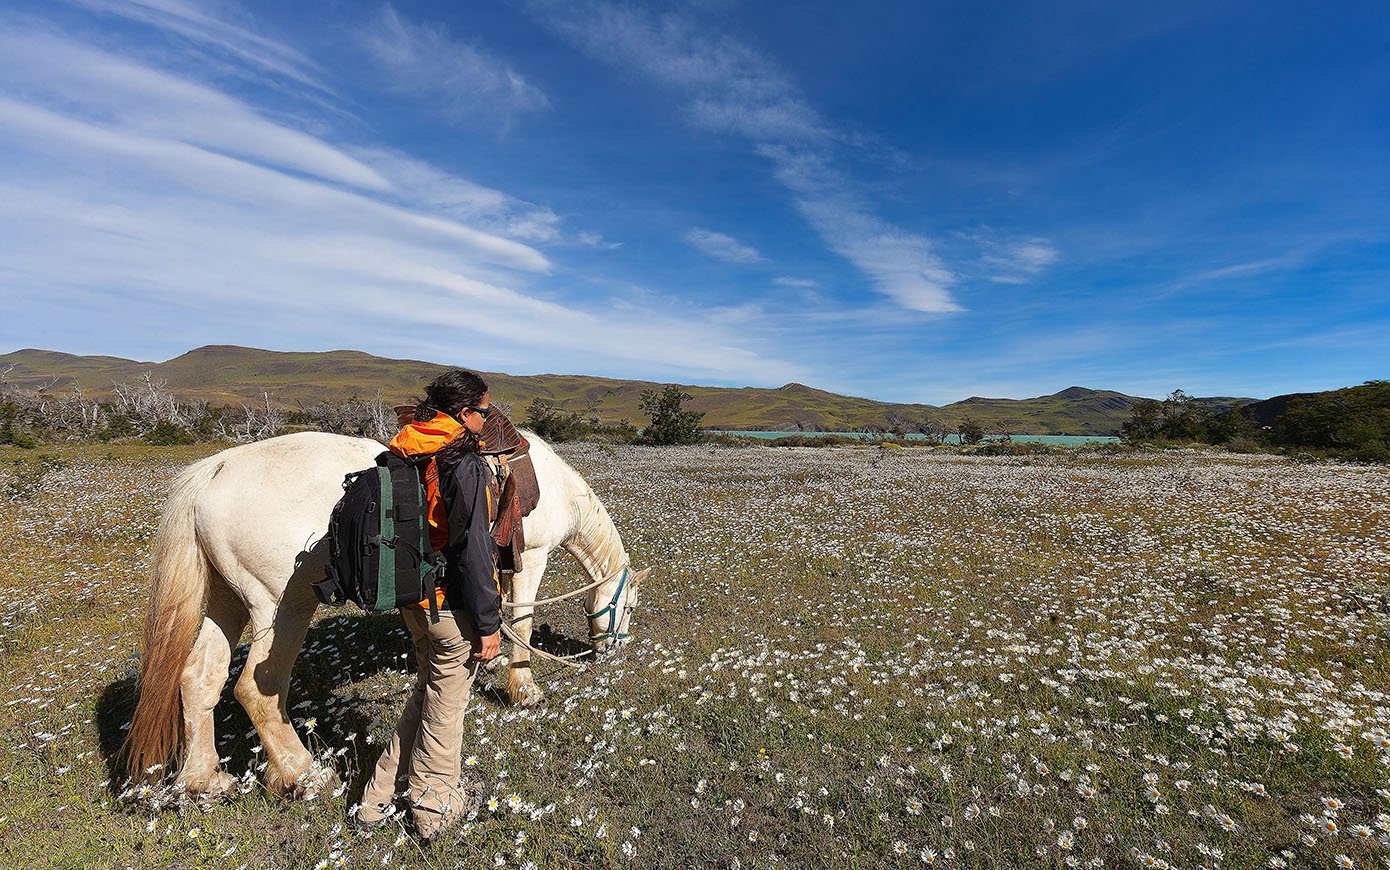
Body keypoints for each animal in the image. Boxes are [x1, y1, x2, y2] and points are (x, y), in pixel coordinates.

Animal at [122, 430, 642, 794]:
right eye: (629, 607)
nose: (615, 652)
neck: (556, 488)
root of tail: (216, 468)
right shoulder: (531, 558)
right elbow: (522, 621)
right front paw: (523, 688)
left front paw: (485, 660)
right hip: (282, 606)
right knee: (257, 688)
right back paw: (302, 774)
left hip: (225, 601)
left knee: (199, 677)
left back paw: (204, 779)